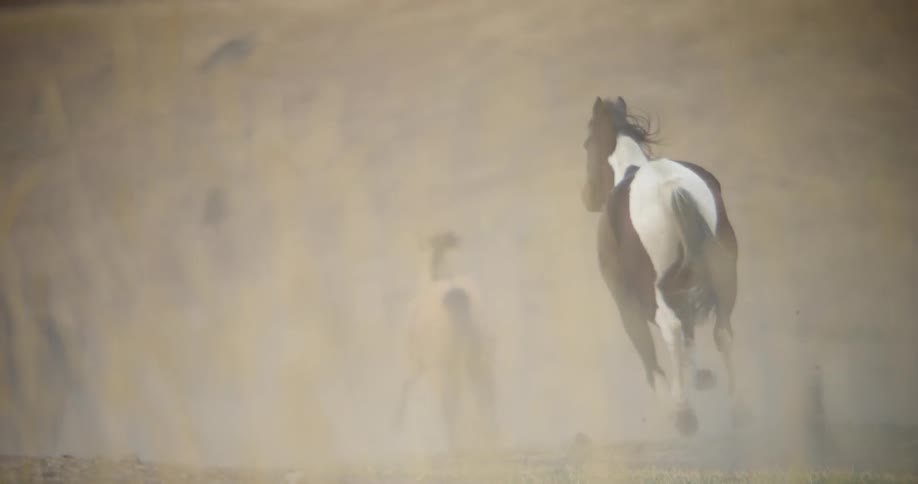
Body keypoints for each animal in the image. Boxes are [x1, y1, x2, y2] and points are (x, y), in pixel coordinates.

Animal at [392, 231, 498, 451]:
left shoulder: (414, 360)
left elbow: (404, 385)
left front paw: (396, 425)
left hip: (441, 365)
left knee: (449, 405)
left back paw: (454, 444)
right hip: (481, 358)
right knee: (487, 396)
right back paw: (491, 436)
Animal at [580, 96, 744, 436]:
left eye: (586, 143)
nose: (586, 197)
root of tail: (672, 189)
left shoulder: (625, 299)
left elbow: (649, 351)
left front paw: (669, 404)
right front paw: (698, 376)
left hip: (657, 288)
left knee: (671, 329)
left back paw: (682, 413)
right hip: (723, 275)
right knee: (722, 330)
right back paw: (739, 409)